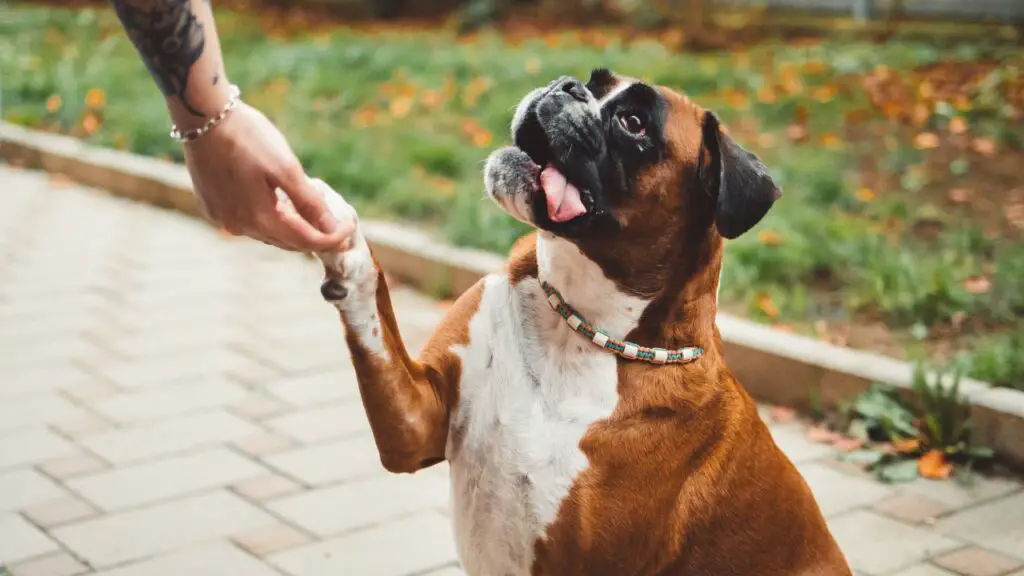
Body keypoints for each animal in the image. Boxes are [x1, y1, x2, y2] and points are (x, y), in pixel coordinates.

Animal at [315, 68, 851, 573]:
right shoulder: (415, 423)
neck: (578, 326)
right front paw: (334, 231)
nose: (566, 85)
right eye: (594, 81)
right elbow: (374, 321)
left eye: (633, 123)